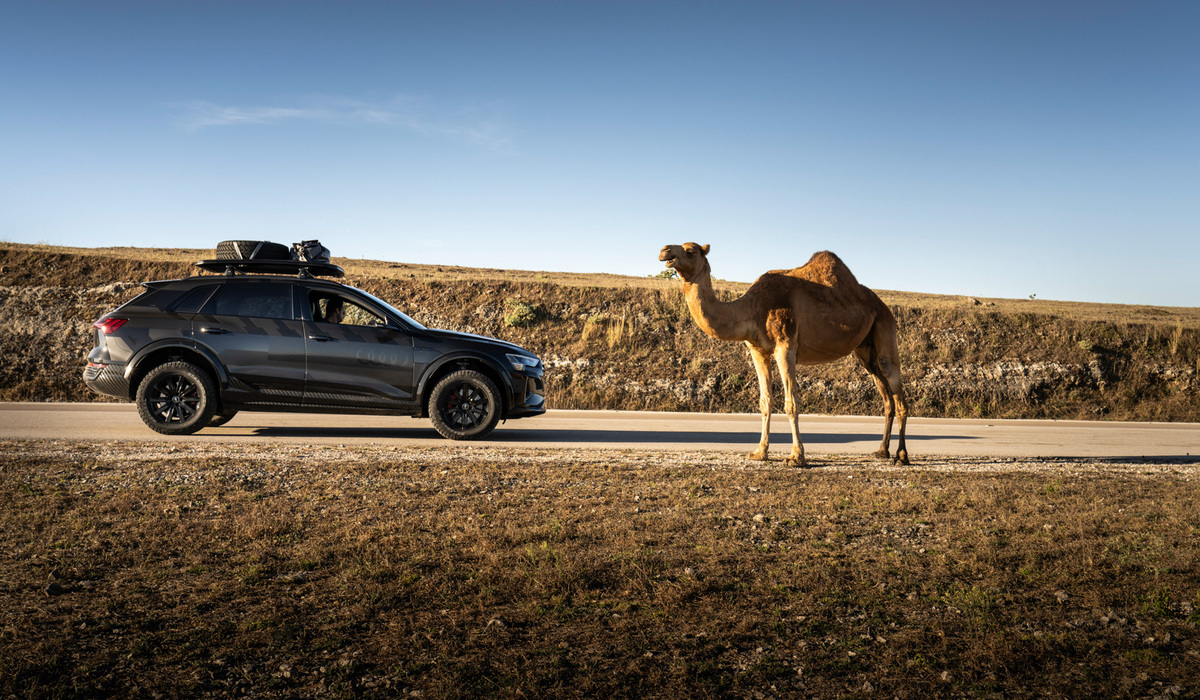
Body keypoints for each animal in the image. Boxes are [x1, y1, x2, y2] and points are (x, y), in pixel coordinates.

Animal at [659, 242, 909, 467]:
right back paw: (882, 451)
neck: (753, 307)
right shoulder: (758, 350)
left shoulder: (785, 347)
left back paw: (901, 456)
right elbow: (765, 401)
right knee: (885, 393)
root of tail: (883, 305)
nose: (664, 251)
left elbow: (791, 403)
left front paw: (796, 457)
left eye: (690, 251)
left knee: (893, 378)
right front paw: (759, 452)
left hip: (884, 324)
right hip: (865, 349)